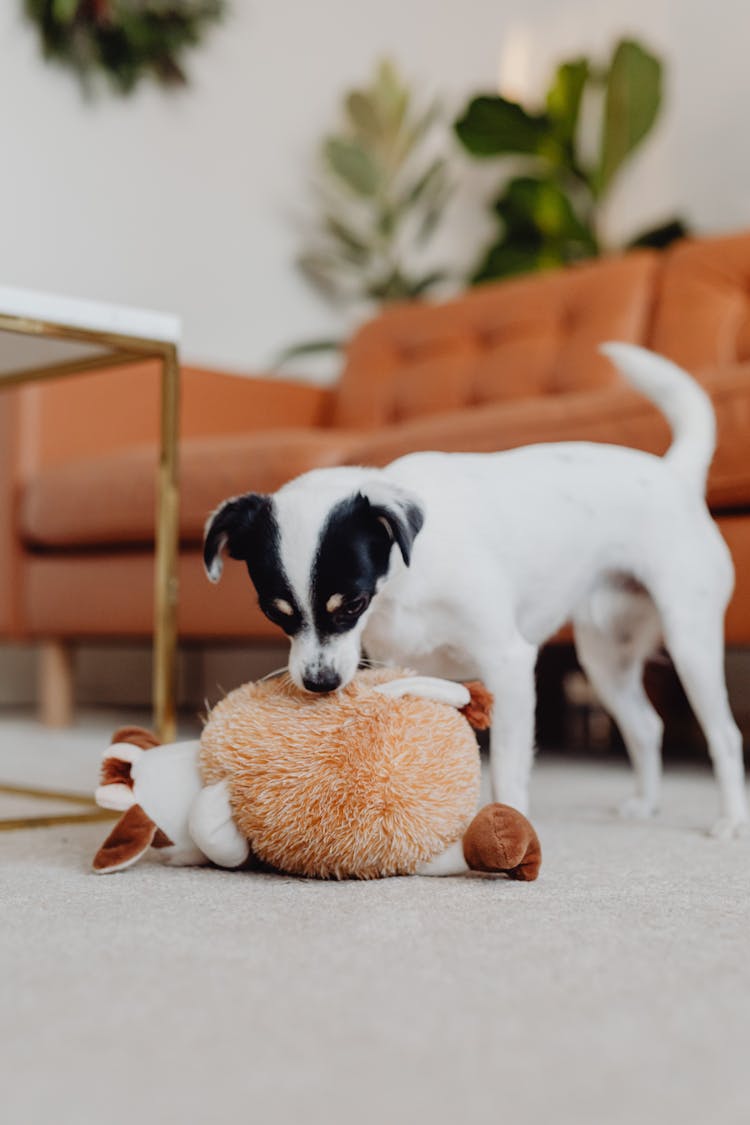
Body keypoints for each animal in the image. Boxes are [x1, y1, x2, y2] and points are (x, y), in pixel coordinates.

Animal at [202, 342, 746, 837]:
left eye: (352, 604)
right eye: (276, 613)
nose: (319, 683)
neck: (405, 580)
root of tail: (674, 475)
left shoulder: (508, 663)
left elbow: (507, 766)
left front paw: (509, 823)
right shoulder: (405, 664)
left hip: (689, 642)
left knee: (724, 734)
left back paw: (730, 820)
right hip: (606, 657)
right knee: (646, 726)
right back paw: (647, 805)